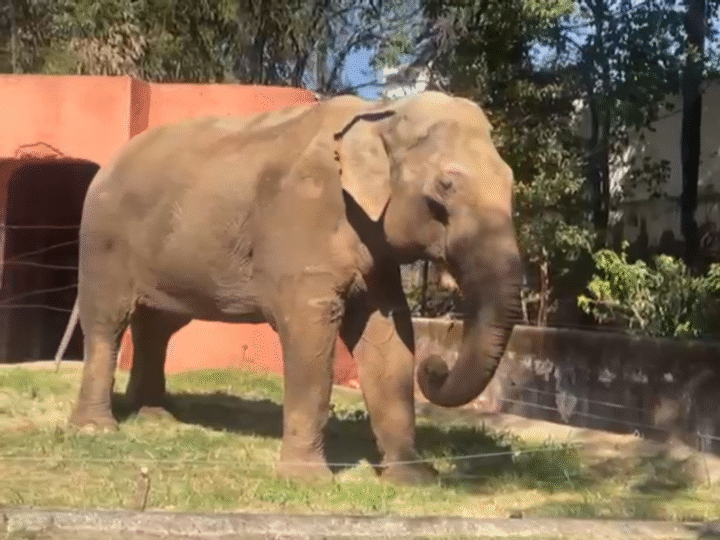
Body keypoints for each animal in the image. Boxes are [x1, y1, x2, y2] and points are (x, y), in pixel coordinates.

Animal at [58, 90, 522, 484]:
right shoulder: (305, 217)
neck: (378, 113)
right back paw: (97, 429)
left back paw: (155, 417)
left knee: (158, 327)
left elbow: (390, 339)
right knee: (108, 321)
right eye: (445, 187)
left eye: (512, 181)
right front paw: (308, 481)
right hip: (104, 241)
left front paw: (414, 480)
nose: (436, 367)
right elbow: (310, 330)